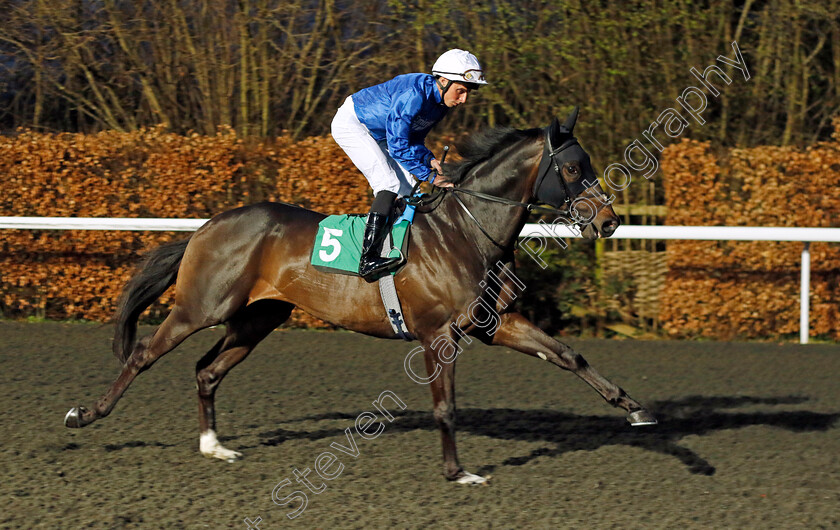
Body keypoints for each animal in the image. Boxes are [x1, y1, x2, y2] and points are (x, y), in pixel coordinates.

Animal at [64, 107, 656, 482]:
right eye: (573, 167)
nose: (608, 221)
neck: (466, 231)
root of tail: (207, 226)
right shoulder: (437, 335)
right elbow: (445, 407)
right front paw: (457, 471)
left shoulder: (494, 322)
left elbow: (568, 355)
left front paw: (634, 409)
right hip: (201, 307)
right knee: (143, 353)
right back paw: (86, 415)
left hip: (258, 317)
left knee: (207, 371)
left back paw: (215, 445)